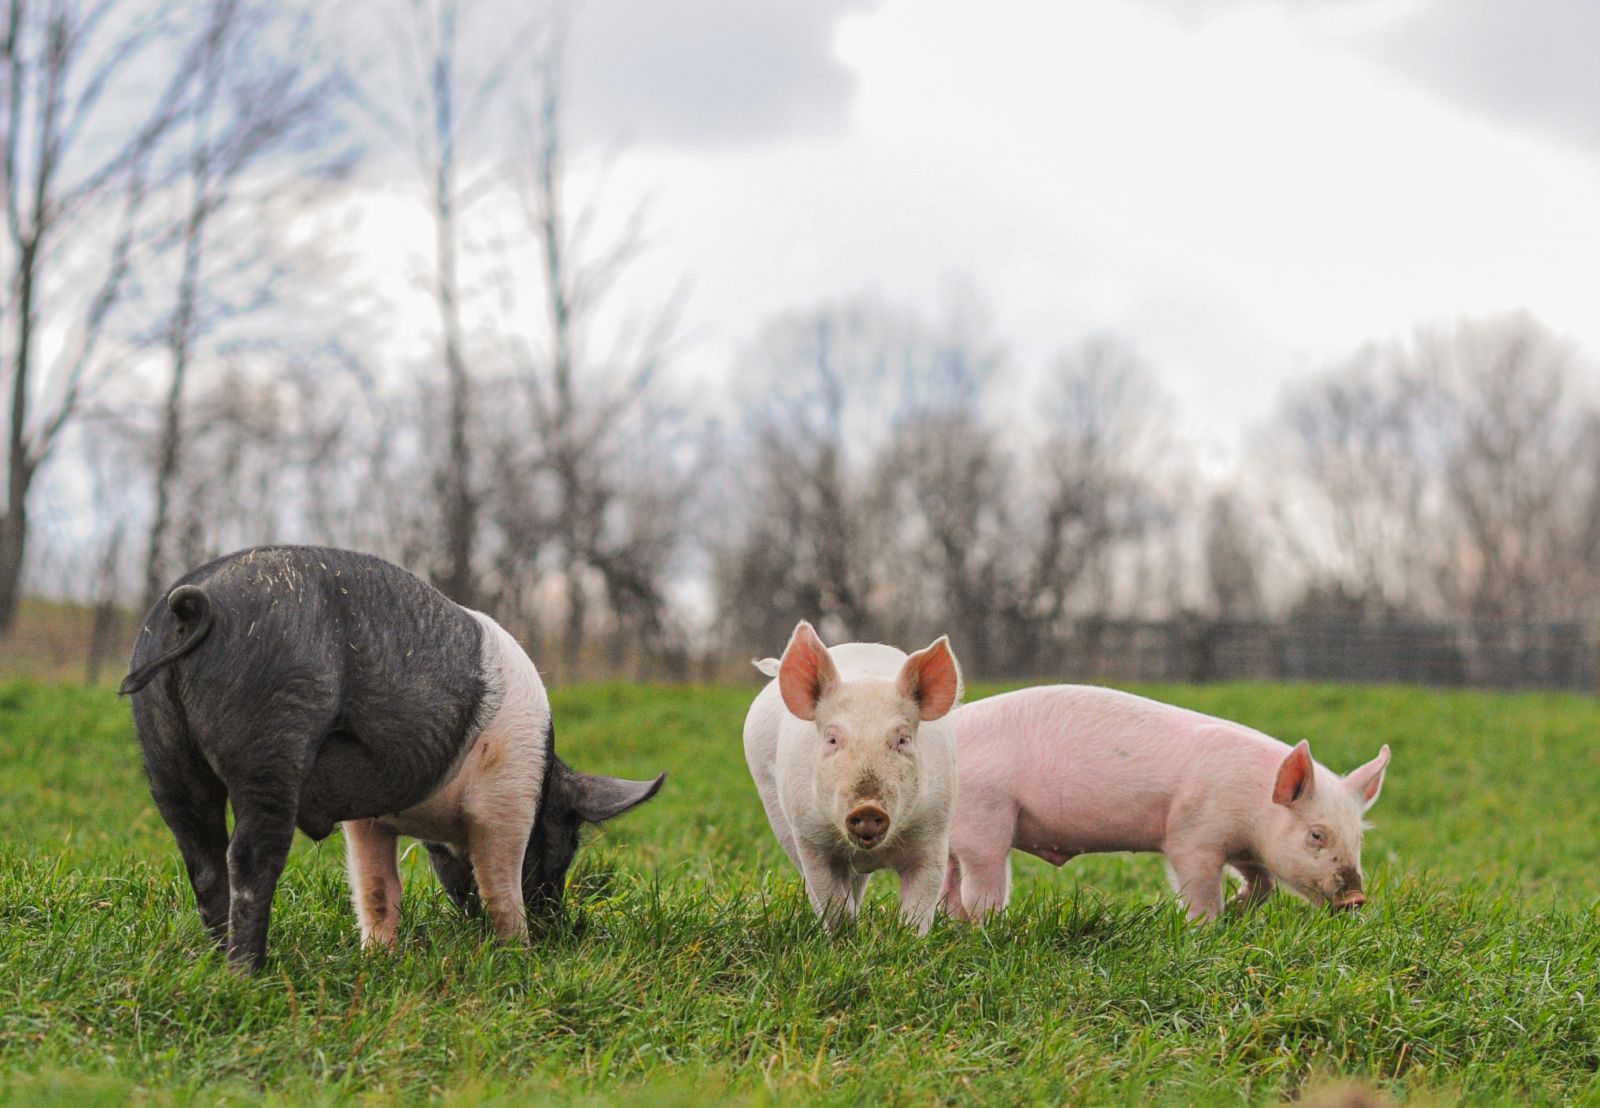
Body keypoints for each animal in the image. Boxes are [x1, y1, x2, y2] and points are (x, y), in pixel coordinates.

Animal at [121, 544, 665, 967]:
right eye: (566, 844)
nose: (560, 929)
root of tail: (196, 603)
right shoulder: (506, 799)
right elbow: (499, 886)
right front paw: (519, 953)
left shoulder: (370, 820)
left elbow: (379, 889)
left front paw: (380, 957)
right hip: (273, 738)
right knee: (250, 858)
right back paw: (250, 971)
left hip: (164, 751)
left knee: (203, 860)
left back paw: (219, 961)